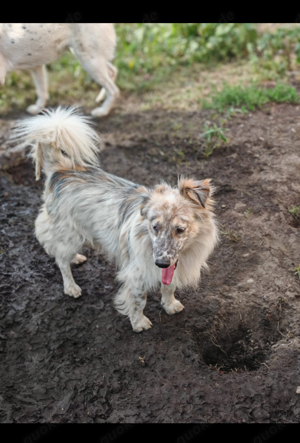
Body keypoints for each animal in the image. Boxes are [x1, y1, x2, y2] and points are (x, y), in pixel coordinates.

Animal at [12, 107, 218, 332]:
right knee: (61, 260)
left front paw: (170, 305)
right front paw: (139, 323)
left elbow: (169, 286)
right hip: (69, 234)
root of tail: (62, 170)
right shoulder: (136, 273)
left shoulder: (171, 266)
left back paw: (76, 258)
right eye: (155, 227)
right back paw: (71, 286)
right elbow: (139, 300)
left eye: (180, 229)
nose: (160, 263)